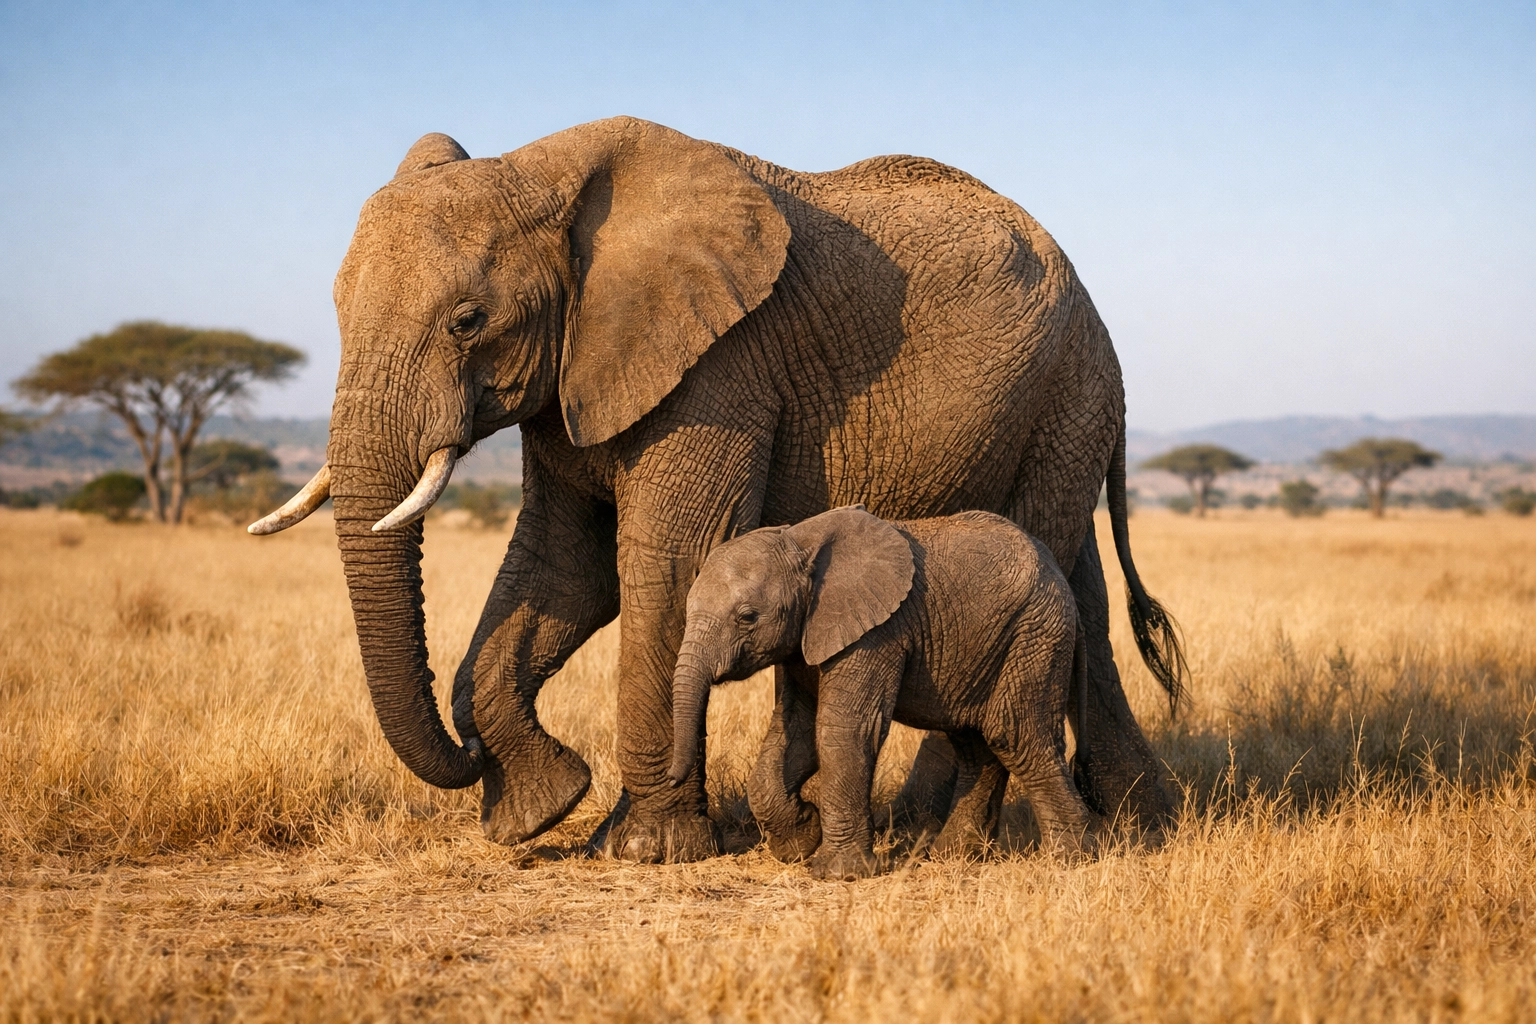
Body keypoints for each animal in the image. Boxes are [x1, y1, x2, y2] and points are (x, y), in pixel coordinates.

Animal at [668, 507, 1100, 879]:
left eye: (747, 617)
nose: (672, 778)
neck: (799, 540)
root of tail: (1063, 583)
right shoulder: (809, 635)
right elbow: (797, 730)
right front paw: (801, 840)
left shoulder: (878, 631)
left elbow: (843, 729)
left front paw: (837, 873)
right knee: (977, 742)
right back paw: (953, 856)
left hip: (1035, 633)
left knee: (1013, 734)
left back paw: (1070, 860)